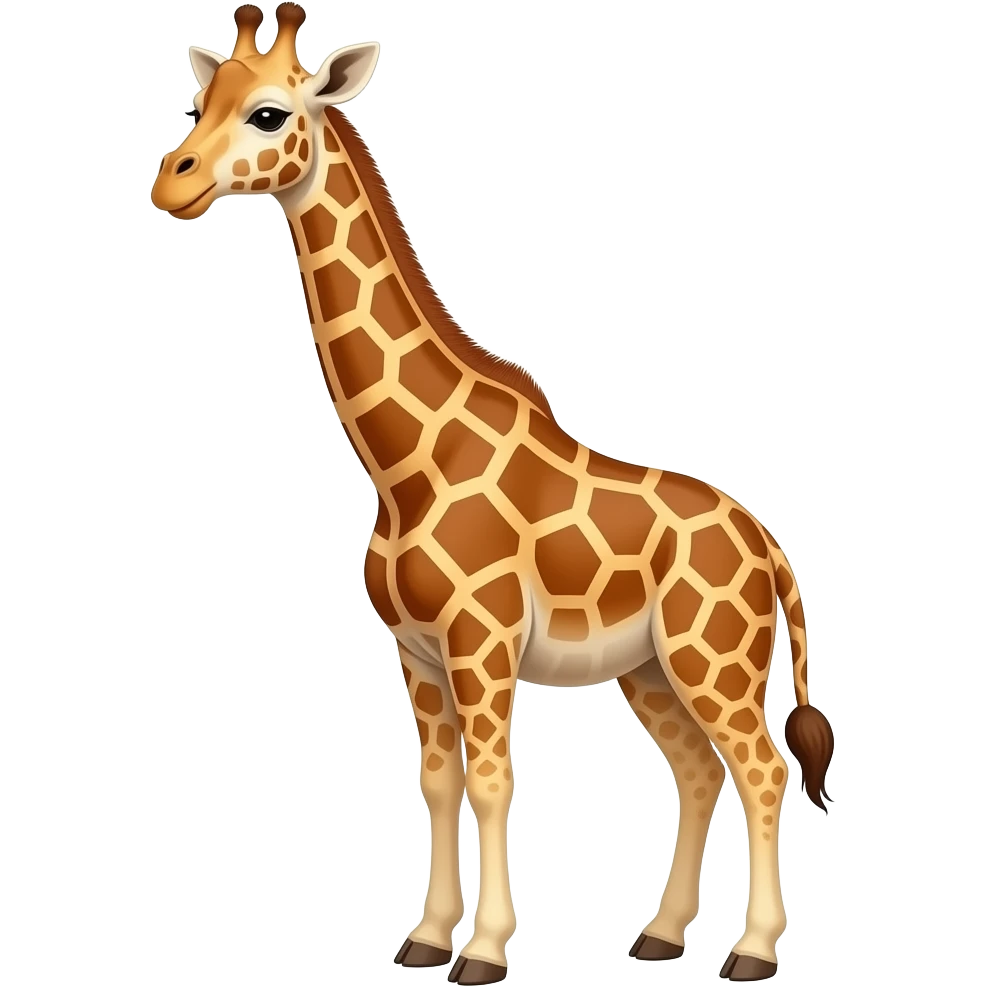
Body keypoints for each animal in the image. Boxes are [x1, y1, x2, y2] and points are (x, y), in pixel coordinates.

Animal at [149, 5, 836, 984]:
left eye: (271, 114)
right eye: (201, 102)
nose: (172, 183)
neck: (404, 466)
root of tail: (770, 547)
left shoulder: (481, 643)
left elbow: (490, 778)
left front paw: (482, 951)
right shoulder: (416, 651)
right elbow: (436, 782)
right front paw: (427, 937)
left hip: (715, 658)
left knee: (763, 768)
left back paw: (752, 950)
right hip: (649, 667)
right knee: (700, 769)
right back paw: (661, 935)